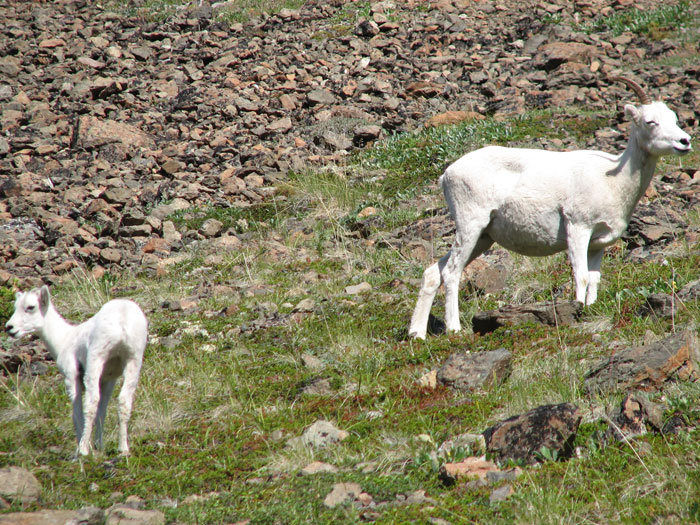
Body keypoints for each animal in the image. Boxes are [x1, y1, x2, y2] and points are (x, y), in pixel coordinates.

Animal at [5, 286, 148, 454]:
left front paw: (83, 448)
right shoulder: (108, 380)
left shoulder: (71, 377)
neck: (63, 338)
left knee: (91, 403)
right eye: (16, 307)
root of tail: (122, 317)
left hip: (96, 359)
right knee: (124, 401)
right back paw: (123, 449)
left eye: (31, 307)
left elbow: (77, 412)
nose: (9, 327)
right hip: (133, 360)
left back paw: (84, 450)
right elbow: (102, 411)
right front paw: (99, 447)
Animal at [408, 78, 692, 340]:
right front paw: (578, 309)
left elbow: (594, 279)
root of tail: (447, 174)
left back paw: (417, 334)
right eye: (650, 121)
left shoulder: (598, 244)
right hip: (470, 227)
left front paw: (590, 308)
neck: (613, 180)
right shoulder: (578, 229)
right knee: (452, 272)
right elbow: (581, 276)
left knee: (433, 272)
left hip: (484, 238)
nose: (685, 141)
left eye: (674, 118)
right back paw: (454, 329)